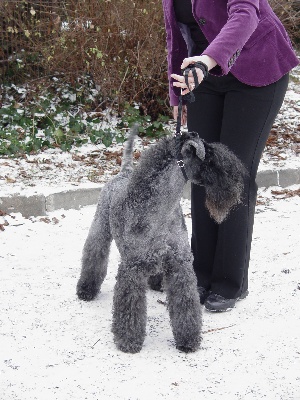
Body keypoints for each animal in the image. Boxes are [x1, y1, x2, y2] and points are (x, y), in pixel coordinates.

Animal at [77, 125, 246, 354]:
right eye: (211, 158)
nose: (239, 178)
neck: (160, 211)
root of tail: (123, 173)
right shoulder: (132, 269)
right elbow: (129, 308)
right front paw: (129, 340)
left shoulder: (180, 265)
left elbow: (186, 305)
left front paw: (188, 339)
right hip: (100, 229)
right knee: (94, 255)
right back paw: (86, 289)